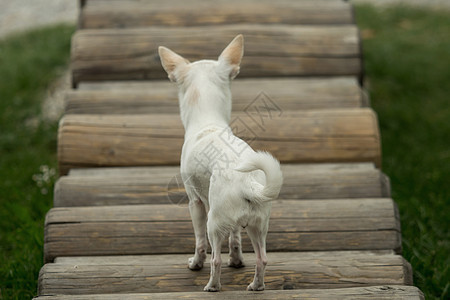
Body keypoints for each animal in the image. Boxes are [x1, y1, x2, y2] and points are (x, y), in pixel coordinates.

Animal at [159, 34, 282, 290]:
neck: (208, 120)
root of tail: (247, 182)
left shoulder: (194, 202)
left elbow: (199, 242)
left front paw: (196, 263)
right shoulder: (235, 224)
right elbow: (235, 239)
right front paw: (236, 260)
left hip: (213, 222)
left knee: (215, 258)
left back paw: (212, 286)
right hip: (258, 225)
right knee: (262, 259)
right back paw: (256, 286)